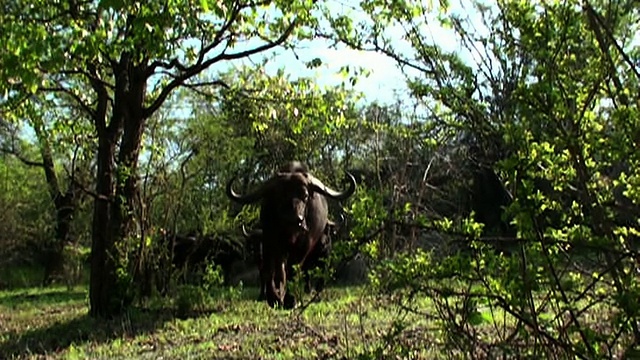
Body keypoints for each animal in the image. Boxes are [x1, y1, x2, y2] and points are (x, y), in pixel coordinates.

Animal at [225, 162, 358, 308]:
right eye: (280, 196)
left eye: (305, 195)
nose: (295, 219)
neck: (291, 234)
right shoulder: (270, 241)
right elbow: (273, 270)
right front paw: (274, 298)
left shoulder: (305, 246)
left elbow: (294, 270)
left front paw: (291, 299)